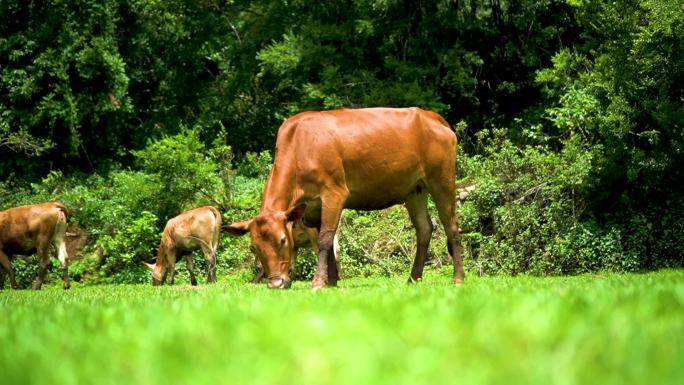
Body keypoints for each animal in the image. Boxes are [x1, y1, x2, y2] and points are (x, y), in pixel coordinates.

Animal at [227, 106, 468, 286]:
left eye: (283, 240)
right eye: (253, 247)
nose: (275, 283)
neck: (300, 146)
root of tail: (431, 116)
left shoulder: (334, 192)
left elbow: (325, 239)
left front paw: (318, 282)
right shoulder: (313, 207)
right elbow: (326, 241)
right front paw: (331, 282)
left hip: (442, 179)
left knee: (451, 226)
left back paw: (458, 278)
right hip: (414, 190)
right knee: (424, 228)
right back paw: (413, 278)